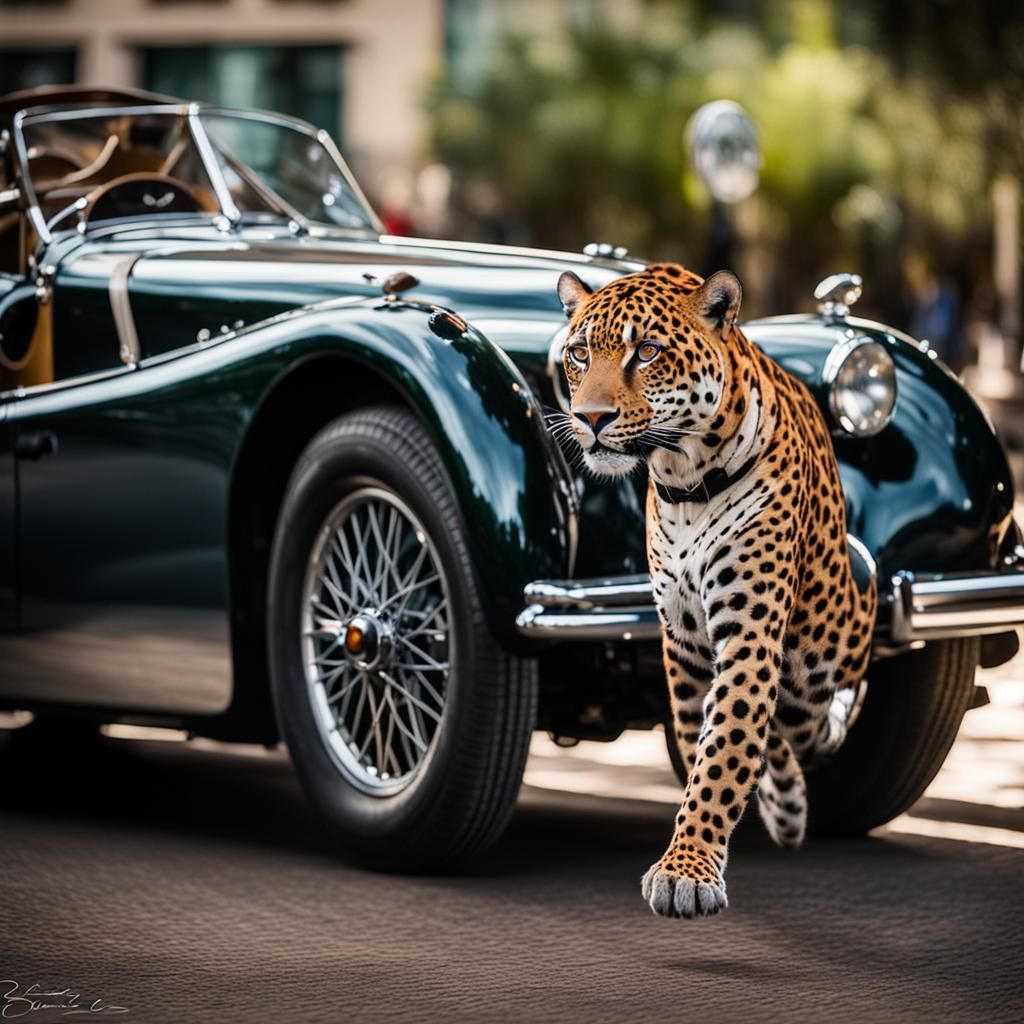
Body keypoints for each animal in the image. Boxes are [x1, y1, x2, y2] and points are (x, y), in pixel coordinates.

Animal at [553, 261, 877, 919]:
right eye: (577, 354)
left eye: (646, 352)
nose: (590, 419)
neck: (684, 480)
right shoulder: (684, 642)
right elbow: (711, 735)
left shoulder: (750, 628)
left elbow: (726, 744)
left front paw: (687, 871)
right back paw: (786, 807)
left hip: (829, 638)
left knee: (826, 697)